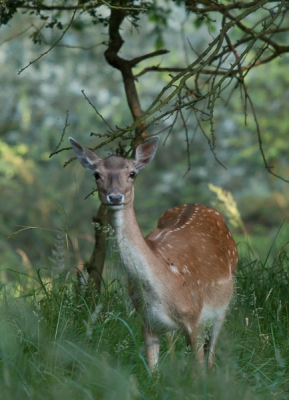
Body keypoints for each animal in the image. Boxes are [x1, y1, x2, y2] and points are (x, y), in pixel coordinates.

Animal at [69, 137, 236, 372]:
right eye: (96, 174)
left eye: (132, 173)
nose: (115, 196)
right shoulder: (146, 322)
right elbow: (152, 372)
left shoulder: (194, 317)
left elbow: (198, 371)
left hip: (223, 306)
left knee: (211, 352)